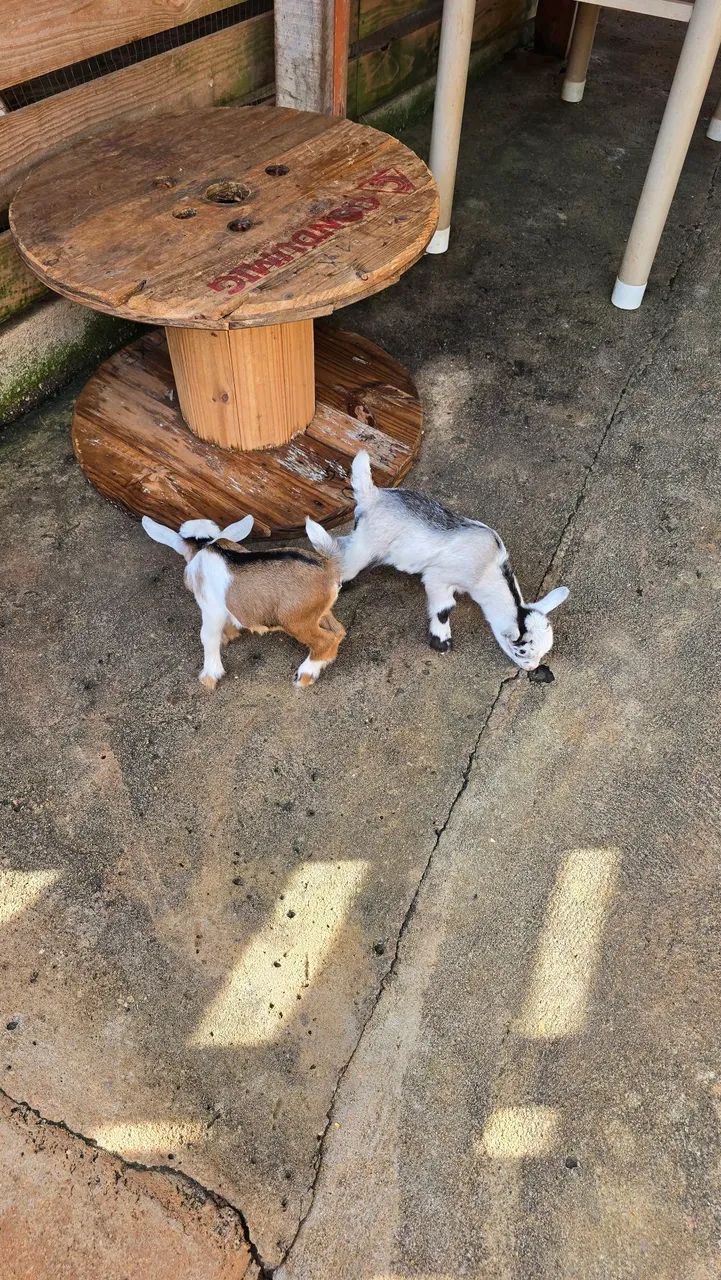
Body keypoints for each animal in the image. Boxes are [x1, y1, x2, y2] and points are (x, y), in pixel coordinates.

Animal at [141, 514, 345, 689]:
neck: (206, 545)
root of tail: (329, 567)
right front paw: (229, 635)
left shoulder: (211, 609)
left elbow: (207, 636)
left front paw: (210, 677)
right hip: (319, 613)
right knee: (338, 632)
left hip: (295, 621)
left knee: (325, 641)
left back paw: (304, 676)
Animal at [337, 452, 569, 671]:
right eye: (520, 651)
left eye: (542, 653)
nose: (532, 667)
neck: (489, 568)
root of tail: (373, 495)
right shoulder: (437, 577)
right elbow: (444, 607)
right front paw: (441, 641)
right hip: (367, 545)